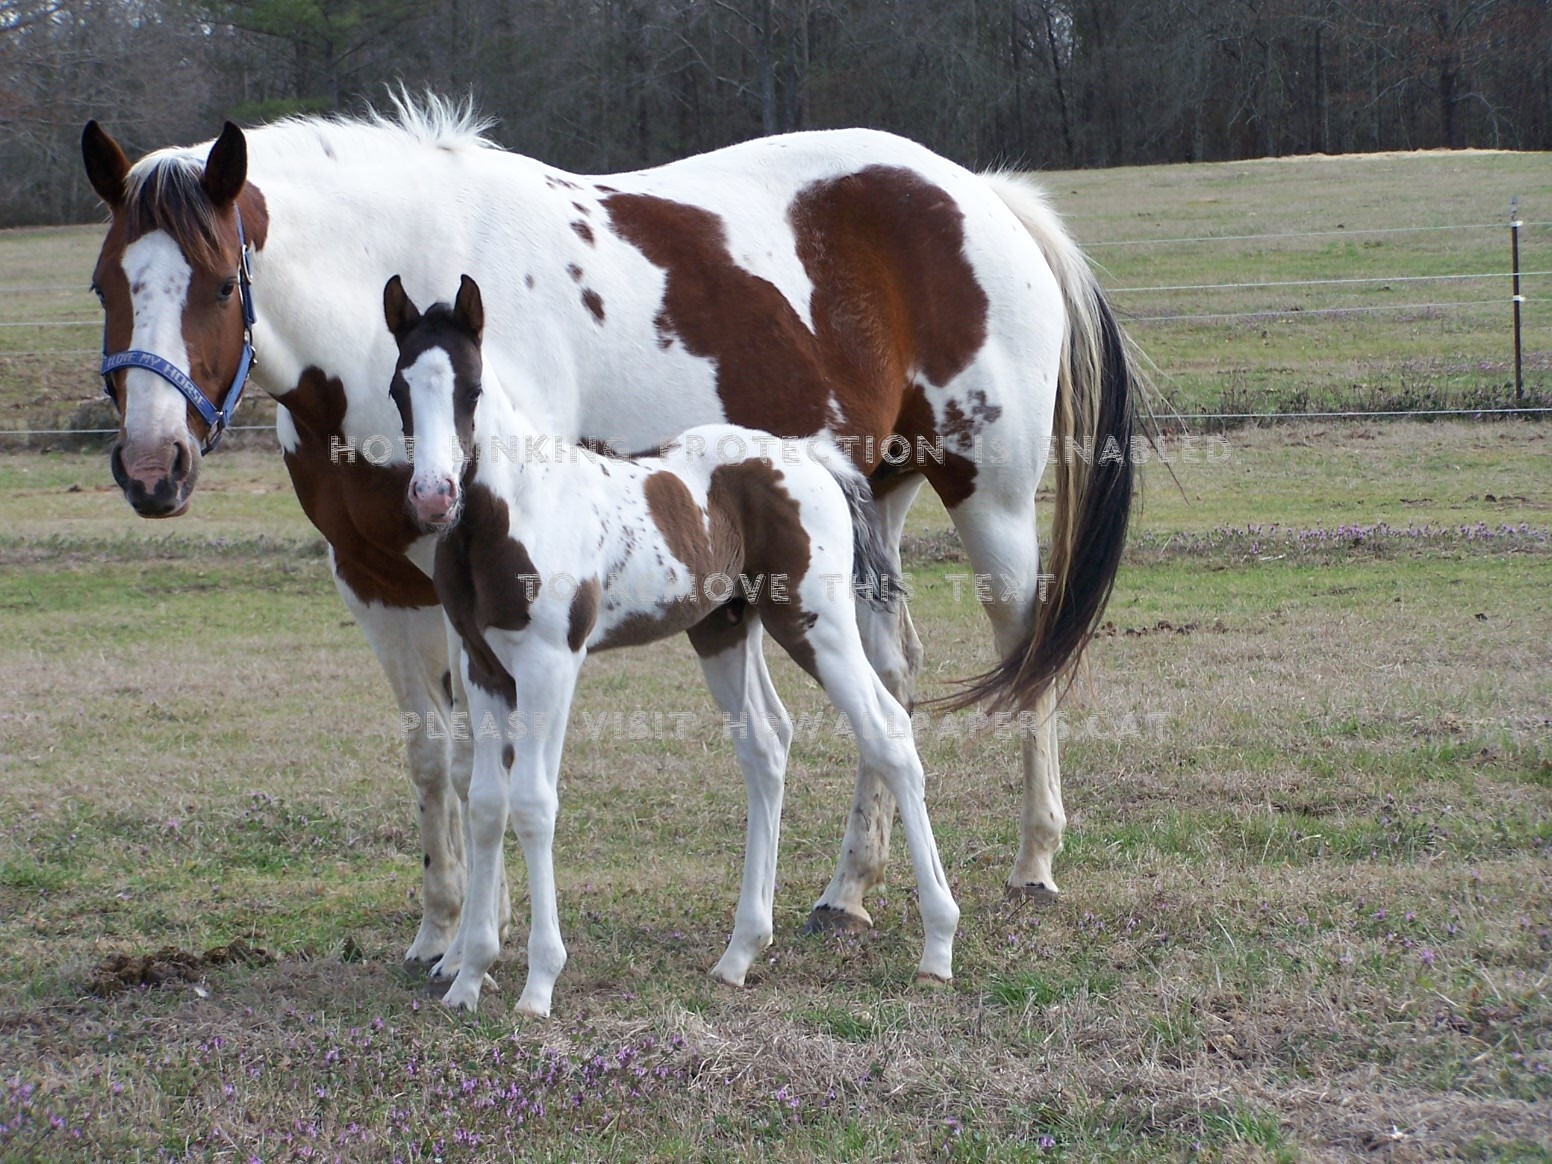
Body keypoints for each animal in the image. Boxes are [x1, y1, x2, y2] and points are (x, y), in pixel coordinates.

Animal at [378, 273, 959, 1015]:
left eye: (472, 389)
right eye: (399, 389)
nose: (432, 497)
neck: (512, 513)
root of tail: (811, 458)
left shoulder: (549, 666)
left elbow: (533, 804)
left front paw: (538, 985)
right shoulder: (485, 671)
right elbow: (485, 804)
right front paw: (469, 978)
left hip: (815, 622)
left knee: (888, 734)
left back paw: (937, 946)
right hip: (724, 628)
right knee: (766, 746)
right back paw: (740, 953)